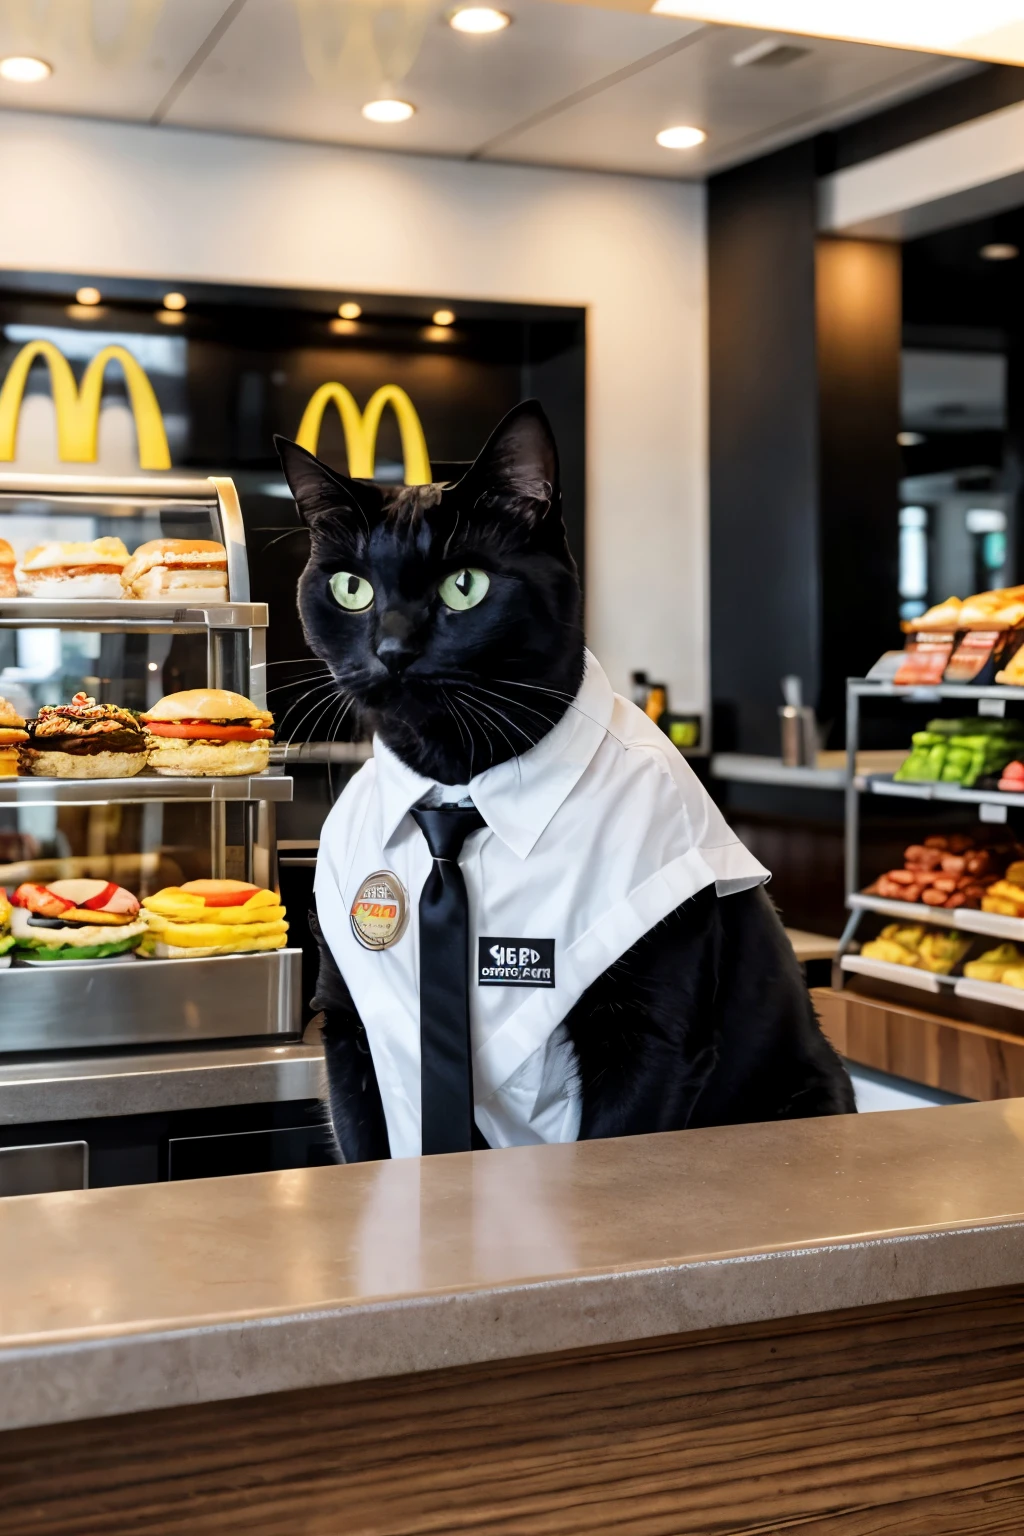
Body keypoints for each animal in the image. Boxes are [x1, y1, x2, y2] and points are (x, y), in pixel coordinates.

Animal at [276, 402, 853, 1155]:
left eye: (465, 585)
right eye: (351, 588)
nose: (393, 648)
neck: (456, 785)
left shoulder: (650, 1038)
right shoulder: (352, 1026)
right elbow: (366, 1142)